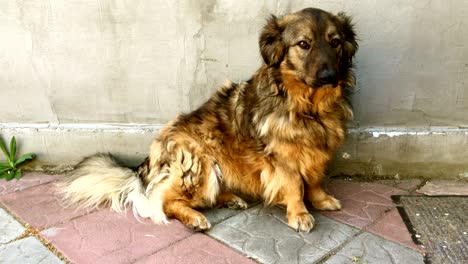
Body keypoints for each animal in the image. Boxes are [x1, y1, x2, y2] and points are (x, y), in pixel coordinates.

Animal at [59, 7, 358, 232]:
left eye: (335, 42)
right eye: (303, 44)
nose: (330, 76)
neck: (309, 108)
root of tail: (147, 163)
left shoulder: (317, 151)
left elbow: (315, 179)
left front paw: (321, 199)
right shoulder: (281, 158)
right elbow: (295, 184)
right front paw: (299, 214)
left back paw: (231, 199)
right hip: (199, 162)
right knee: (166, 202)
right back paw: (194, 218)